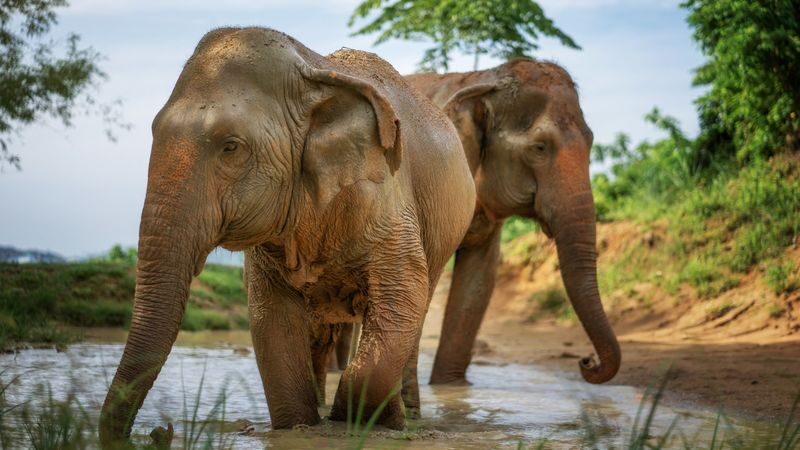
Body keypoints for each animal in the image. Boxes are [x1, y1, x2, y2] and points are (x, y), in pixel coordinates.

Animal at [98, 27, 476, 447]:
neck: (311, 70)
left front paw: (350, 422)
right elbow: (272, 318)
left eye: (231, 146)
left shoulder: (385, 193)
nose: (159, 431)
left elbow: (401, 297)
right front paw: (302, 427)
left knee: (415, 311)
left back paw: (400, 420)